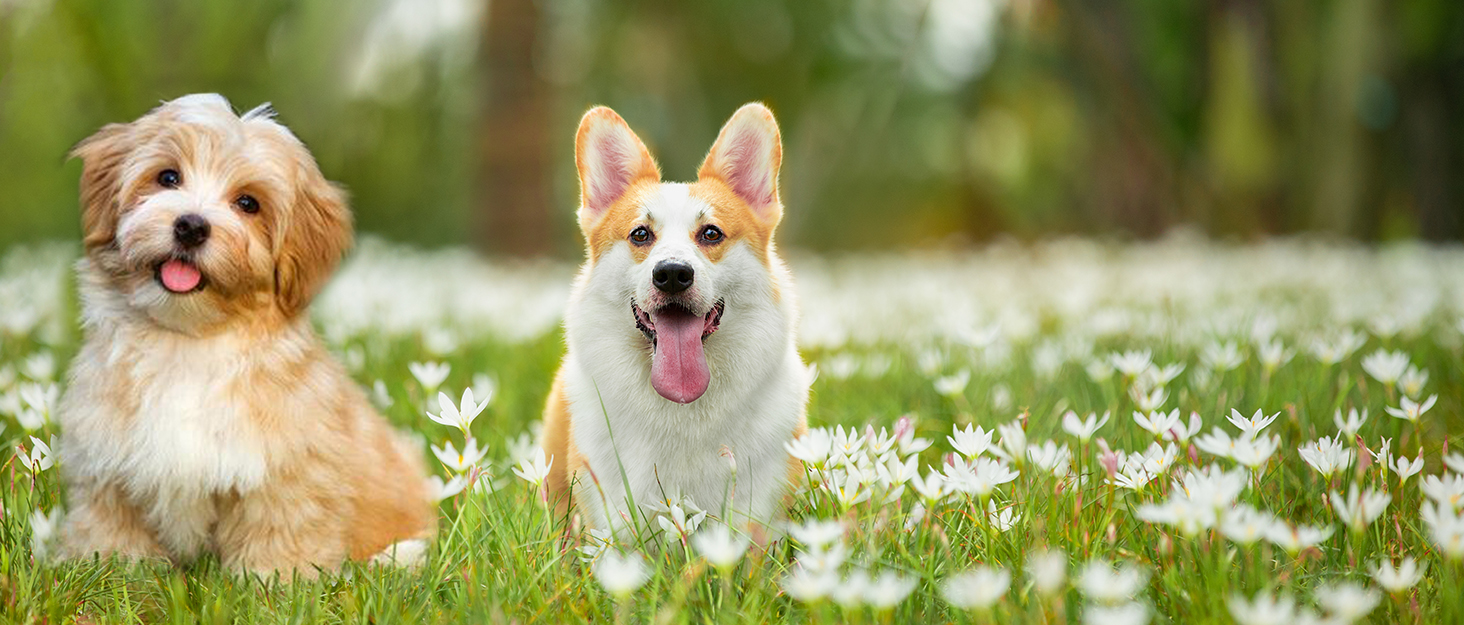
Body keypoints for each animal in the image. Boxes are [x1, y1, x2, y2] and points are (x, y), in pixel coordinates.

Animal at [57, 92, 433, 576]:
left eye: (248, 203)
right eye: (168, 177)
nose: (191, 226)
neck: (188, 342)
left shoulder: (286, 469)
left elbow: (281, 526)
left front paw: (275, 578)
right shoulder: (107, 462)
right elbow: (112, 525)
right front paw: (110, 567)